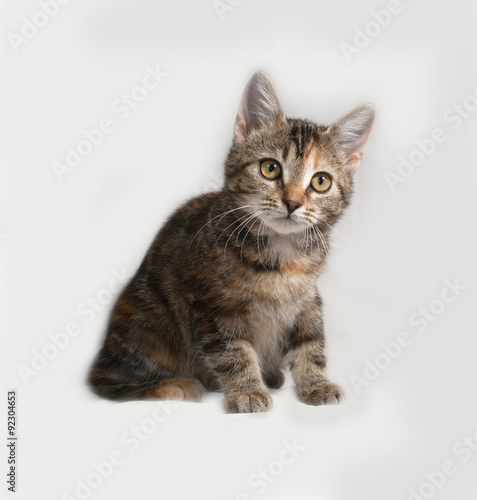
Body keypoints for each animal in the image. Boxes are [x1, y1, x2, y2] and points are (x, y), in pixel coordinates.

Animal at [87, 71, 374, 414]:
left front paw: (316, 383)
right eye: (270, 168)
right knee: (108, 383)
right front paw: (246, 390)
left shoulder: (308, 300)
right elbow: (232, 350)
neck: (281, 254)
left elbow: (310, 343)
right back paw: (178, 385)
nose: (292, 203)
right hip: (150, 319)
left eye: (320, 181)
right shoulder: (214, 305)